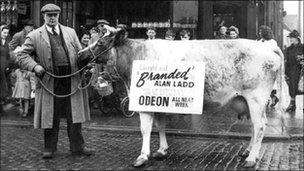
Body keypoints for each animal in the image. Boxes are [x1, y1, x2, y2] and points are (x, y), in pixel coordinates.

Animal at [78, 29, 284, 167]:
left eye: (100, 43)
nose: (80, 54)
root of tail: (267, 46)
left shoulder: (143, 100)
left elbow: (145, 129)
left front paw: (143, 156)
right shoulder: (158, 101)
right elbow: (160, 125)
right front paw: (161, 150)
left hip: (256, 98)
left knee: (260, 125)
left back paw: (251, 159)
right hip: (248, 101)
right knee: (254, 127)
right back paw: (247, 152)